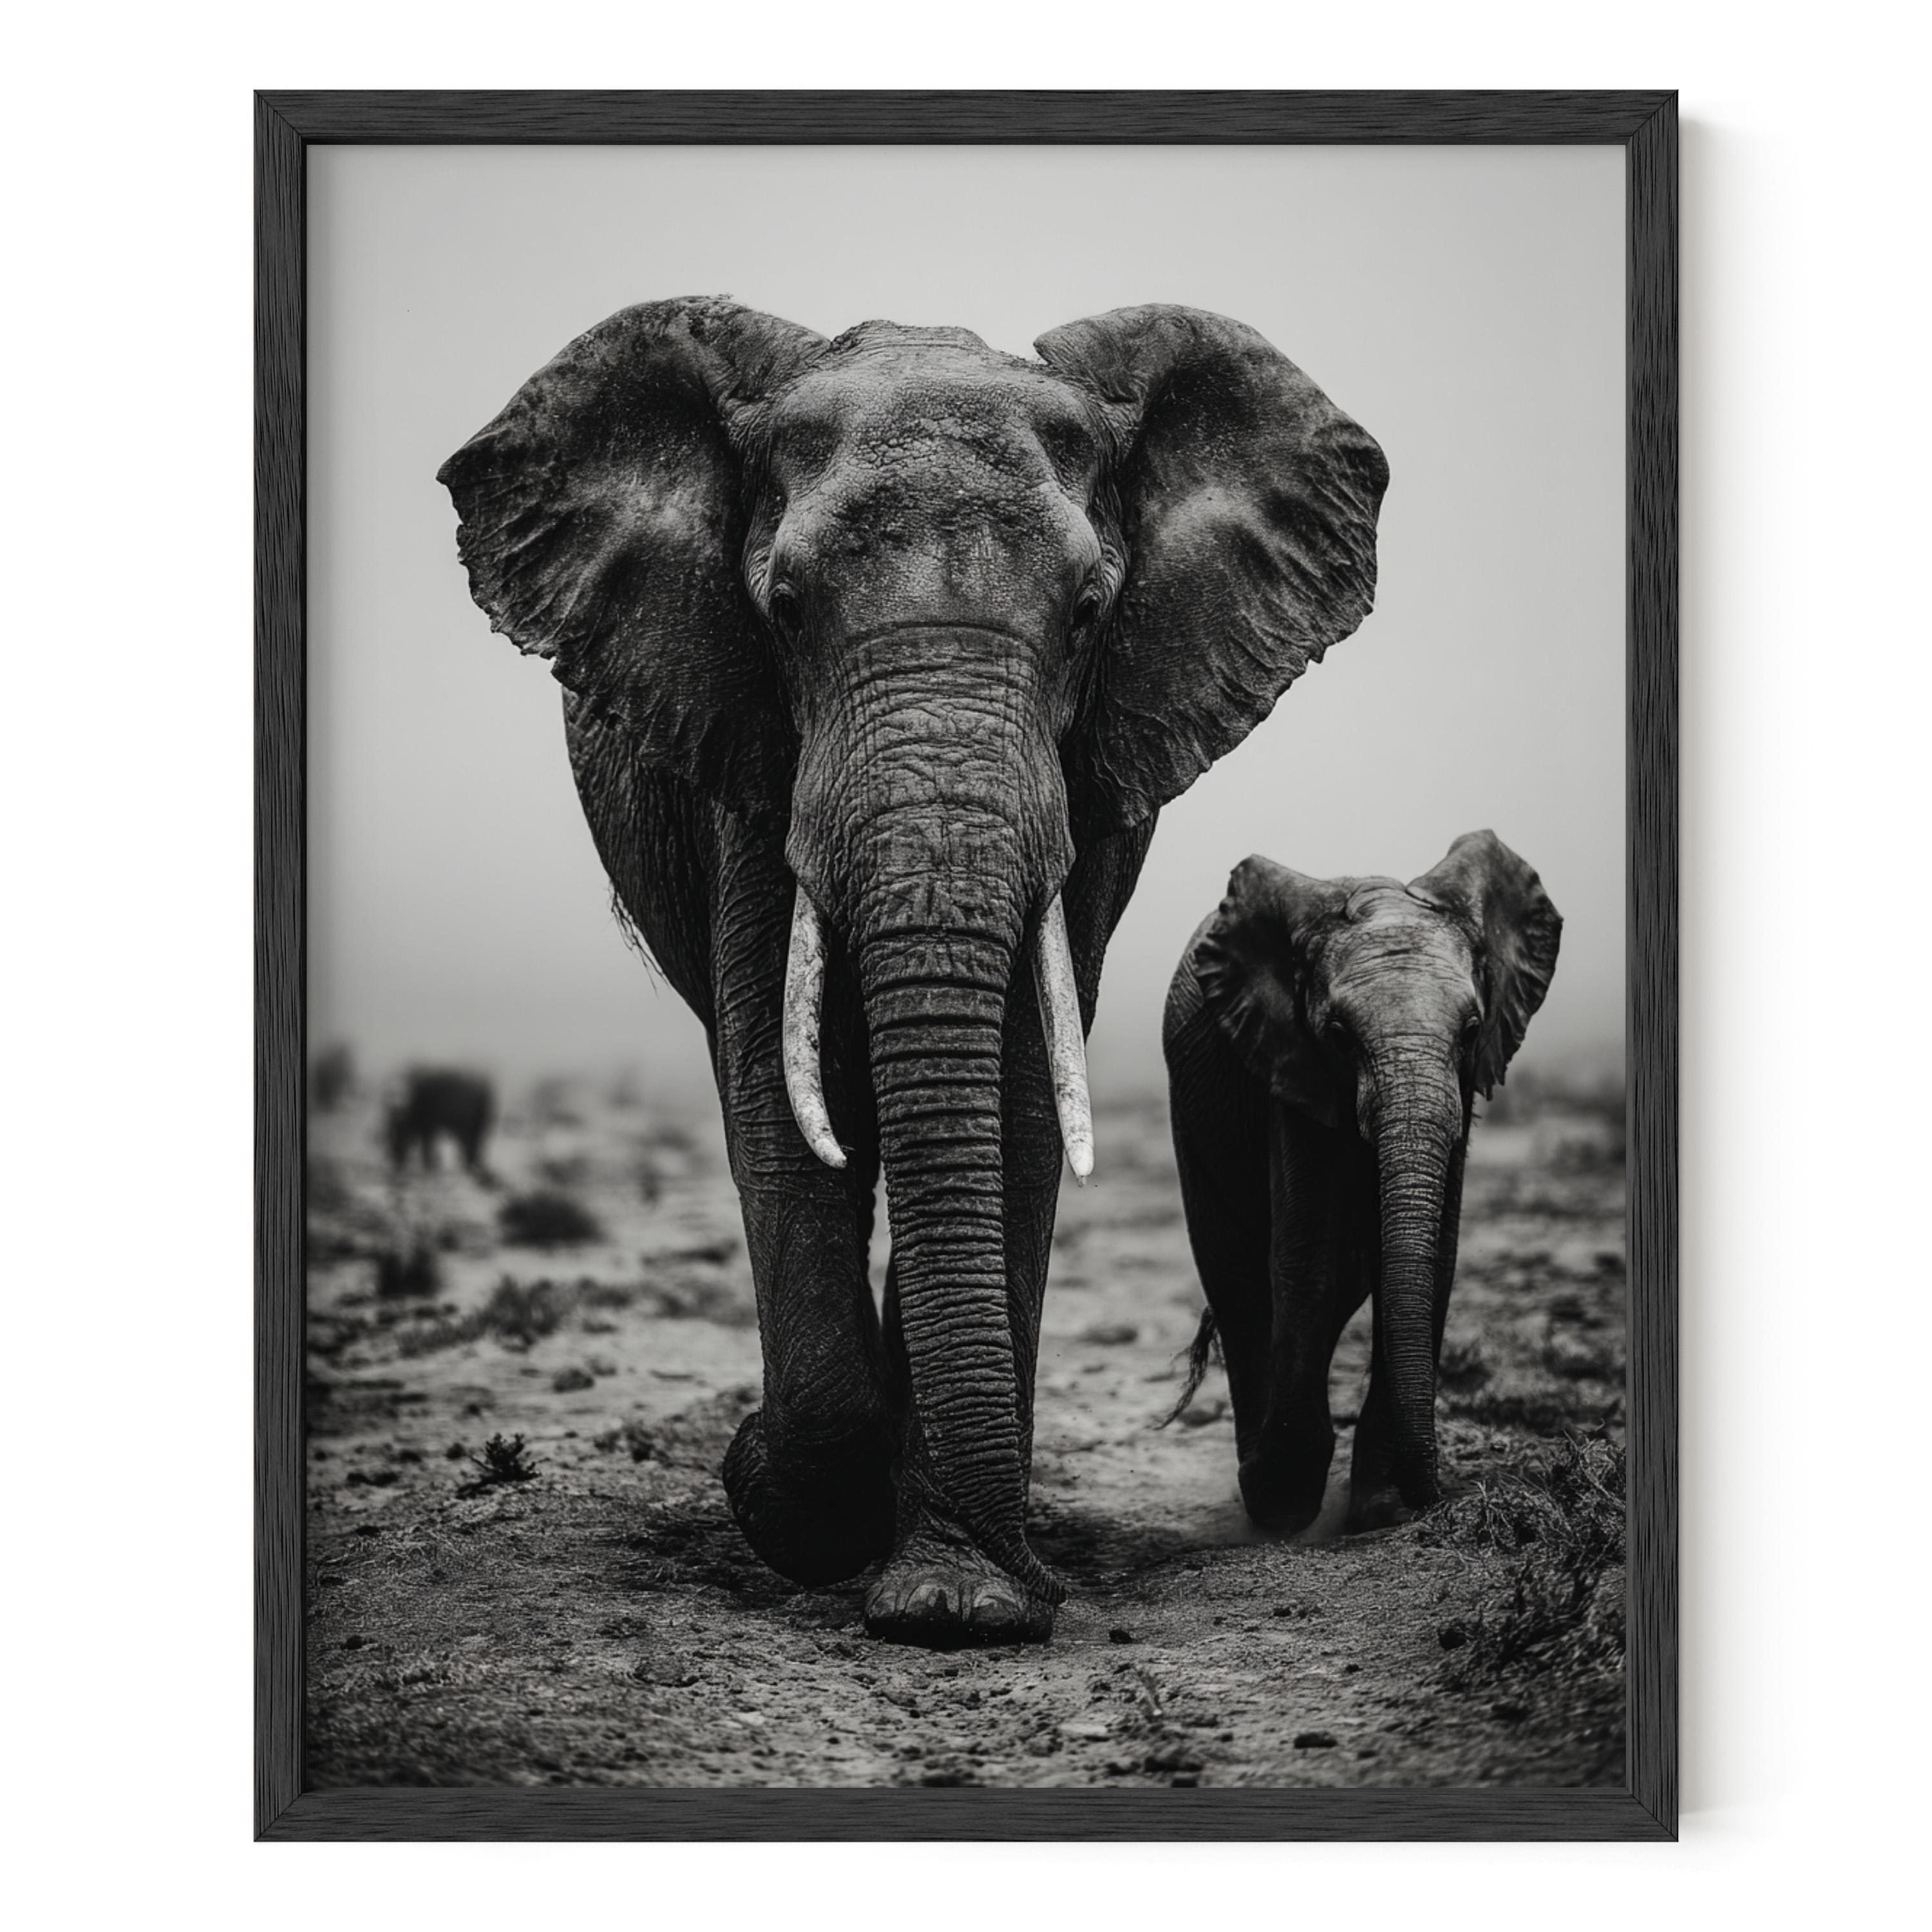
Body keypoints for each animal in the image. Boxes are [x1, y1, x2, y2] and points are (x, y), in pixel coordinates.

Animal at [383, 1068, 497, 1181]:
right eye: (391, 1132)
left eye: (398, 1132)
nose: (395, 1159)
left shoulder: (428, 1128)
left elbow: (427, 1149)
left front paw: (429, 1166)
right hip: (477, 1127)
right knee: (475, 1147)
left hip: (467, 1129)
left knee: (470, 1146)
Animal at [439, 296, 1387, 1646]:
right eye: (783, 607)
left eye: (1091, 612)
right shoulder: (746, 750)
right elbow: (773, 1088)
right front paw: (785, 1498)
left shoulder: (1091, 785)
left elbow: (1024, 1093)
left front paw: (958, 1606)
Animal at [1163, 832, 1560, 1536]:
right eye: (1340, 1036)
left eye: (1470, 1030)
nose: (1434, 1497)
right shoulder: (1290, 1067)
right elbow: (1308, 1263)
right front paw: (1287, 1506)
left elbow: (1434, 1260)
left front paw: (1381, 1511)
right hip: (1192, 1118)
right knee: (1238, 1282)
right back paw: (1261, 1493)